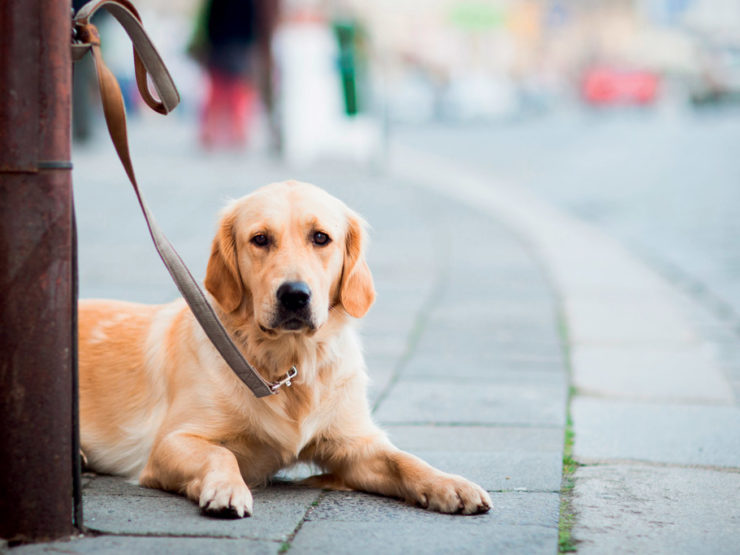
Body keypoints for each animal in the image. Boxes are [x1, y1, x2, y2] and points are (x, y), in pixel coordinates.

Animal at [79, 181, 492, 516]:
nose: (294, 295)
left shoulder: (356, 444)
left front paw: (449, 484)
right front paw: (227, 488)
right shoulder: (171, 443)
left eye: (321, 238)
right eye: (260, 239)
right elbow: (221, 452)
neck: (290, 364)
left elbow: (404, 459)